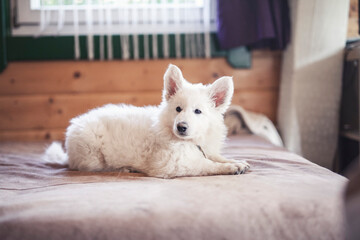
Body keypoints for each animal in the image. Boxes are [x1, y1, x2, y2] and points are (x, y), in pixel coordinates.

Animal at [43, 63, 250, 178]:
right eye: (178, 109)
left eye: (198, 111)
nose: (181, 127)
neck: (190, 141)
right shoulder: (171, 164)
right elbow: (206, 165)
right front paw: (230, 167)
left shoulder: (206, 149)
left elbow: (215, 157)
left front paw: (237, 161)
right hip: (92, 156)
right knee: (92, 167)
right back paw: (126, 168)